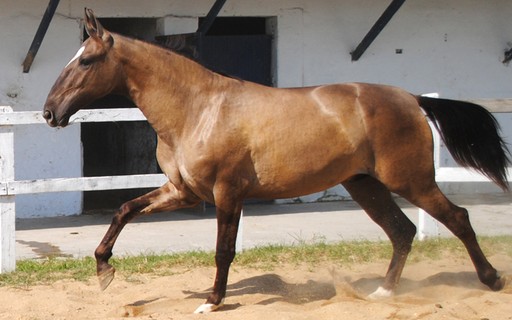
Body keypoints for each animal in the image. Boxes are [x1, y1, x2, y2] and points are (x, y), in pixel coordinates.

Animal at [43, 8, 508, 314]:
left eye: (86, 60)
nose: (49, 113)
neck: (198, 109)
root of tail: (411, 97)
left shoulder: (226, 192)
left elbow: (223, 249)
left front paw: (213, 301)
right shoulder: (183, 192)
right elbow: (124, 209)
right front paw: (104, 270)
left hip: (411, 180)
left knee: (457, 219)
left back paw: (493, 280)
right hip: (365, 184)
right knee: (403, 231)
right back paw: (383, 293)